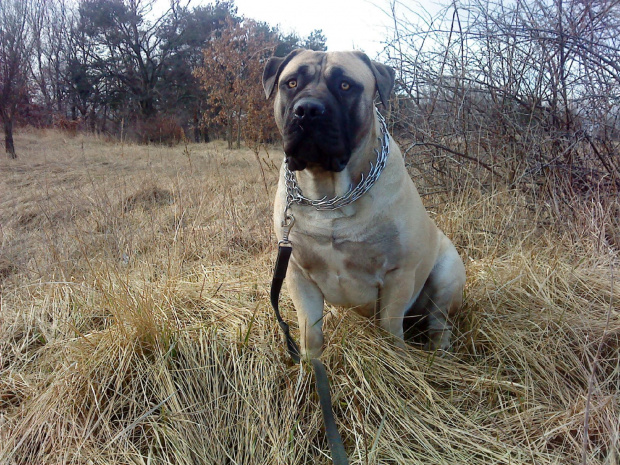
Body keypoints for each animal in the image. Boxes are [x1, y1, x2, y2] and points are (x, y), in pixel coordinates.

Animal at [262, 49, 464, 358]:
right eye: (292, 83)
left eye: (345, 85)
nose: (307, 109)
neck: (329, 196)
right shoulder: (298, 273)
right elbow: (311, 333)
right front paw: (309, 364)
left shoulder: (398, 274)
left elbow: (390, 329)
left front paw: (394, 360)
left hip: (448, 273)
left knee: (439, 320)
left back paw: (438, 350)